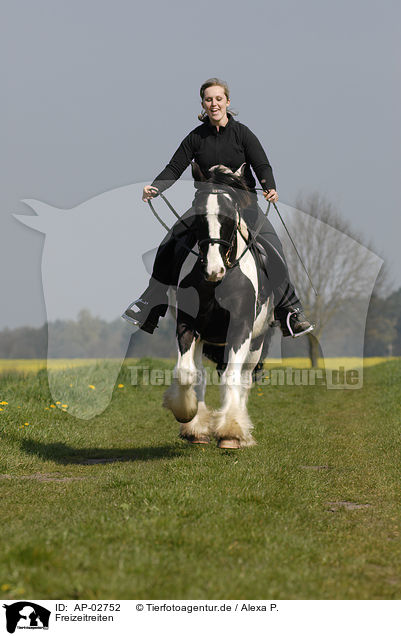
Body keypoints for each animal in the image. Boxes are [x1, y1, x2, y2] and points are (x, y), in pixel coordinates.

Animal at [162, 164, 272, 448]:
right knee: (200, 373)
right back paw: (198, 429)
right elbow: (187, 373)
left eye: (230, 216)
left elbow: (233, 378)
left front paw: (231, 431)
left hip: (256, 343)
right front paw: (187, 415)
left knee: (243, 379)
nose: (214, 270)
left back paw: (240, 432)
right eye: (198, 213)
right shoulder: (188, 325)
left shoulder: (241, 328)